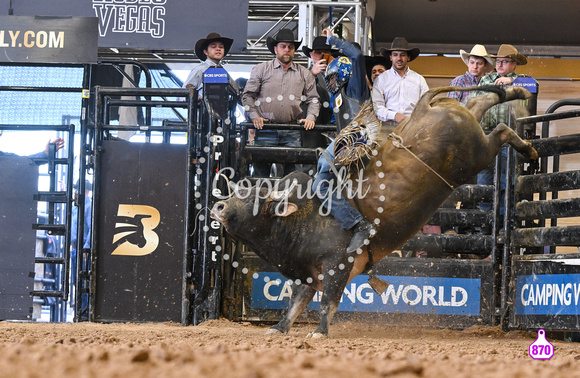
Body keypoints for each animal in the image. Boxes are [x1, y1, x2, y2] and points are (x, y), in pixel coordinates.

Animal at [210, 85, 540, 336]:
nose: (219, 205)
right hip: (468, 126)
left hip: (475, 156)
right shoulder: (307, 276)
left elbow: (327, 303)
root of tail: (422, 108)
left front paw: (320, 332)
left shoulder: (337, 266)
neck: (301, 220)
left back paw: (529, 148)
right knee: (482, 102)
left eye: (253, 197)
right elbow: (295, 305)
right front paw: (278, 328)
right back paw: (517, 90)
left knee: (500, 129)